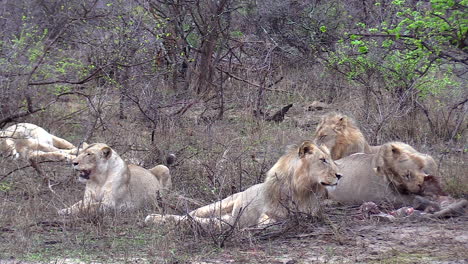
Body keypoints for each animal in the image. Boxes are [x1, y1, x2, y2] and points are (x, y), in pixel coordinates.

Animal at [144, 140, 342, 229]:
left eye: (331, 159)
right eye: (323, 160)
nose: (340, 175)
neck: (299, 188)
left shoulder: (310, 212)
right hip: (221, 204)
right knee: (194, 214)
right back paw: (155, 217)